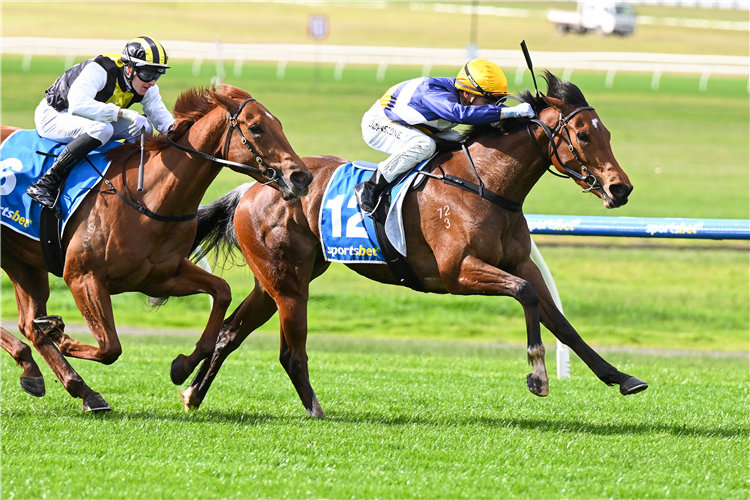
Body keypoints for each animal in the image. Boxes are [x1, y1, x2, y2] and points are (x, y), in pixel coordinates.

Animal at [0, 84, 313, 411]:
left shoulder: (159, 276)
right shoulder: (83, 276)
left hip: (21, 260)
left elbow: (222, 292)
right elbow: (110, 347)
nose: (301, 177)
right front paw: (60, 333)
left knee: (28, 323)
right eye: (255, 128)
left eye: (278, 124)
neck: (147, 197)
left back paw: (52, 378)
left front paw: (182, 366)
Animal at [184, 71, 648, 417]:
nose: (620, 188)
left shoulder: (521, 263)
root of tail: (251, 187)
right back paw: (314, 409)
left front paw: (622, 377)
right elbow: (526, 295)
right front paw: (537, 374)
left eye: (605, 133)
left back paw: (192, 393)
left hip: (278, 278)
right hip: (289, 282)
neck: (486, 185)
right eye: (583, 135)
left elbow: (561, 321)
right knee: (289, 351)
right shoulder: (458, 272)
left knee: (231, 333)